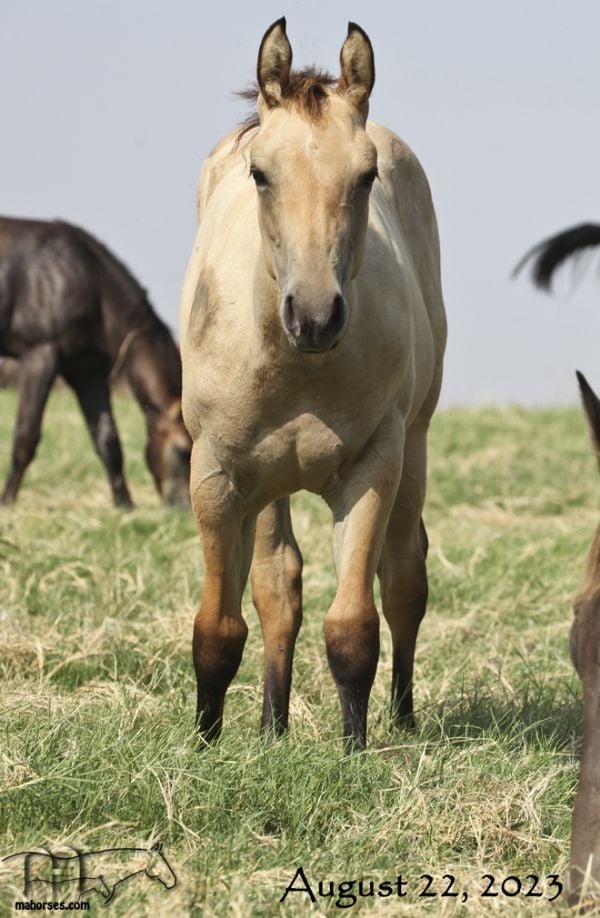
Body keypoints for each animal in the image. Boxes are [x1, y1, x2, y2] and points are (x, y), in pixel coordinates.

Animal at [0, 220, 190, 512]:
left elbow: (108, 441)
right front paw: (7, 503)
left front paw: (124, 505)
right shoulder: (39, 356)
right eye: (183, 451)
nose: (186, 508)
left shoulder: (88, 371)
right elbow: (26, 436)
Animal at [178, 18, 446, 752]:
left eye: (366, 175)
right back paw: (272, 726)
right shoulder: (216, 473)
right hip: (268, 482)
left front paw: (355, 749)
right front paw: (205, 743)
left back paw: (403, 716)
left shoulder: (374, 464)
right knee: (278, 587)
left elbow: (354, 625)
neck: (297, 368)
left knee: (404, 578)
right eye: (260, 172)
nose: (317, 315)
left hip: (415, 444)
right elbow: (220, 625)